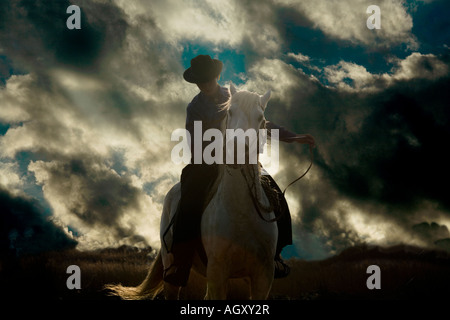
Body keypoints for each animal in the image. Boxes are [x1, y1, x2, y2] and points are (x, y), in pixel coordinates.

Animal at [105, 84, 276, 298]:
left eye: (261, 118)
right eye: (229, 112)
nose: (237, 150)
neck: (241, 213)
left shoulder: (263, 276)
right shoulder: (217, 272)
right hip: (172, 270)